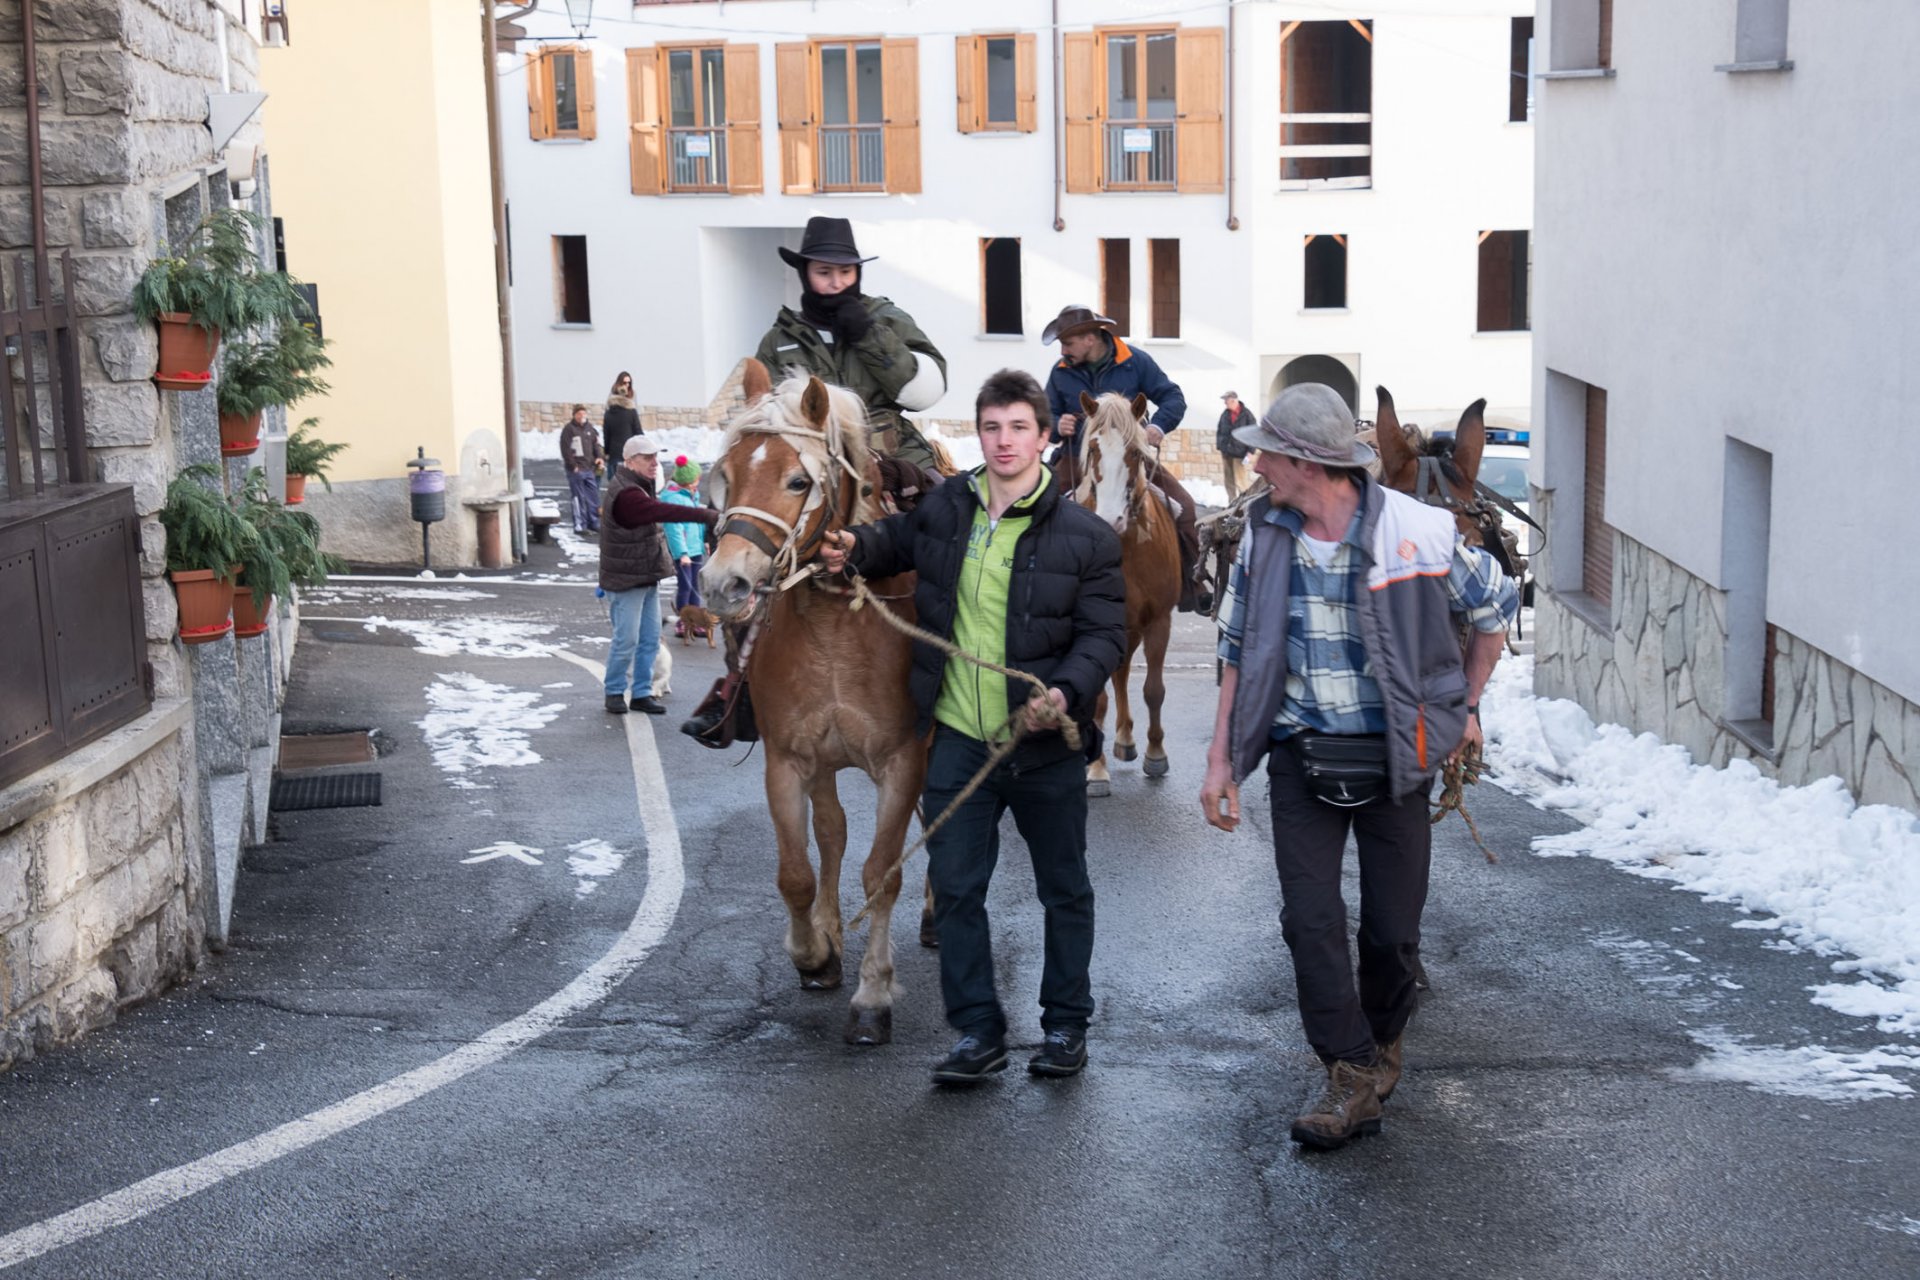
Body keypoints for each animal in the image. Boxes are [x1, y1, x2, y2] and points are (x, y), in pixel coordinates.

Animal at [702, 364, 925, 1043]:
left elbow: (883, 873)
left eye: (798, 480)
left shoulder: (904, 762)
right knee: (830, 832)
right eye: (726, 477)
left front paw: (873, 994)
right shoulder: (789, 760)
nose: (722, 584)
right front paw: (815, 953)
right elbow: (797, 873)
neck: (836, 622)